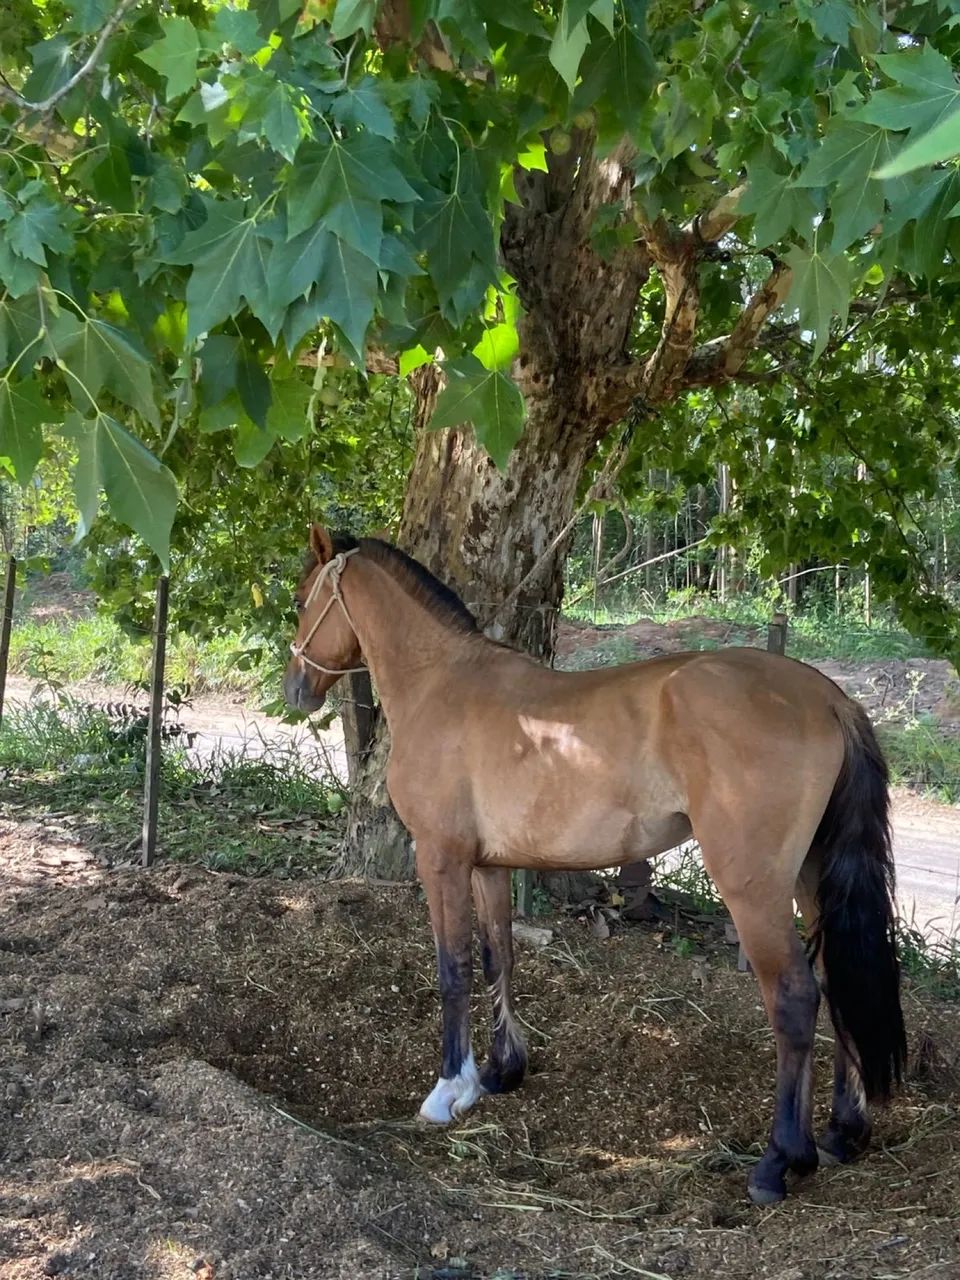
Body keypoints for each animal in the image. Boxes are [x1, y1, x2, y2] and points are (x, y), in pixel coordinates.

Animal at [284, 525, 906, 1206]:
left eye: (302, 600)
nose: (295, 689)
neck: (440, 683)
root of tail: (827, 697)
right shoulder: (488, 866)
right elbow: (499, 956)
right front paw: (501, 1072)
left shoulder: (440, 859)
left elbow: (453, 970)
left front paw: (450, 1089)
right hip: (810, 881)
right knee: (835, 980)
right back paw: (843, 1131)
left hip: (755, 889)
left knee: (794, 997)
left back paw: (778, 1161)